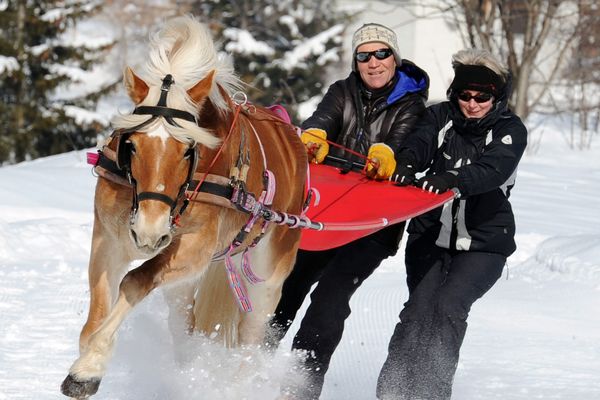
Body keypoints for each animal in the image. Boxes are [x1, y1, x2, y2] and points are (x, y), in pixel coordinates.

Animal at [60, 14, 308, 396]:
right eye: (132, 145)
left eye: (189, 150)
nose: (150, 232)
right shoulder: (108, 238)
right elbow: (97, 311)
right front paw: (88, 361)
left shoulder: (196, 248)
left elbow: (134, 281)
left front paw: (88, 366)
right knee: (184, 325)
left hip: (268, 275)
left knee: (251, 340)